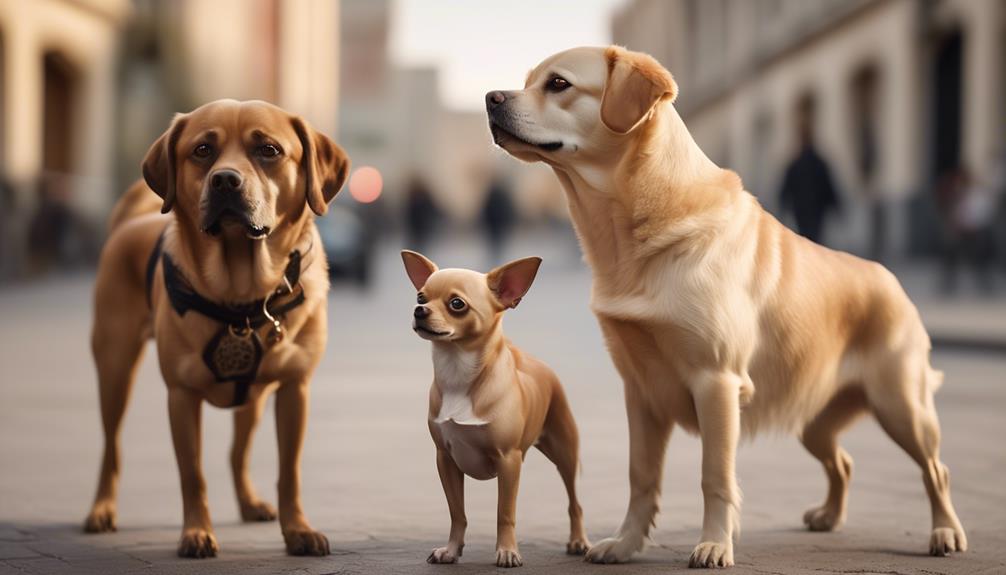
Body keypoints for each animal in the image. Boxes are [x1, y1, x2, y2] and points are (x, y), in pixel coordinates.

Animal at [83, 99, 350, 558]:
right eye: (203, 150)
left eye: (268, 150)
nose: (225, 180)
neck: (243, 294)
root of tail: (132, 223)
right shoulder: (181, 396)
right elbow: (193, 475)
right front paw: (196, 532)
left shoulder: (294, 389)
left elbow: (290, 472)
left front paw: (297, 529)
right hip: (114, 369)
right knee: (110, 448)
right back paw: (102, 508)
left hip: (254, 399)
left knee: (237, 453)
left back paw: (250, 502)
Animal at [400, 251, 587, 566]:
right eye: (420, 296)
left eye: (457, 304)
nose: (419, 310)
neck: (457, 371)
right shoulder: (445, 460)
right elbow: (457, 512)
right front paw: (451, 550)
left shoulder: (509, 461)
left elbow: (504, 513)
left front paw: (508, 551)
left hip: (565, 454)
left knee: (575, 501)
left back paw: (579, 541)